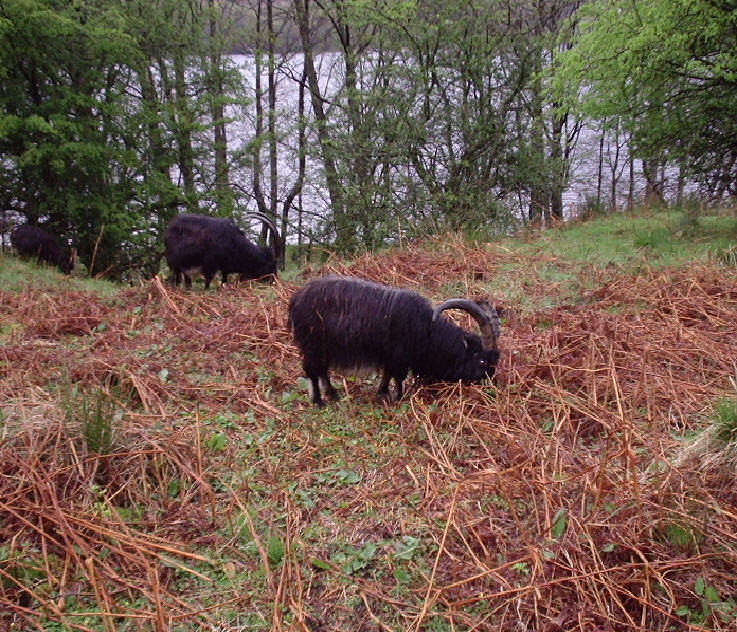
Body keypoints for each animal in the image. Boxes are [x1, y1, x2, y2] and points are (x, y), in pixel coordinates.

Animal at [288, 276, 500, 404]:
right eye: (482, 360)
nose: (490, 385)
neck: (426, 329)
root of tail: (296, 299)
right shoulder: (399, 356)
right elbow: (397, 377)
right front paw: (397, 397)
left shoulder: (390, 356)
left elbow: (387, 374)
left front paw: (382, 393)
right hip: (313, 345)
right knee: (311, 370)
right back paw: (318, 401)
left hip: (324, 348)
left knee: (322, 369)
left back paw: (332, 394)